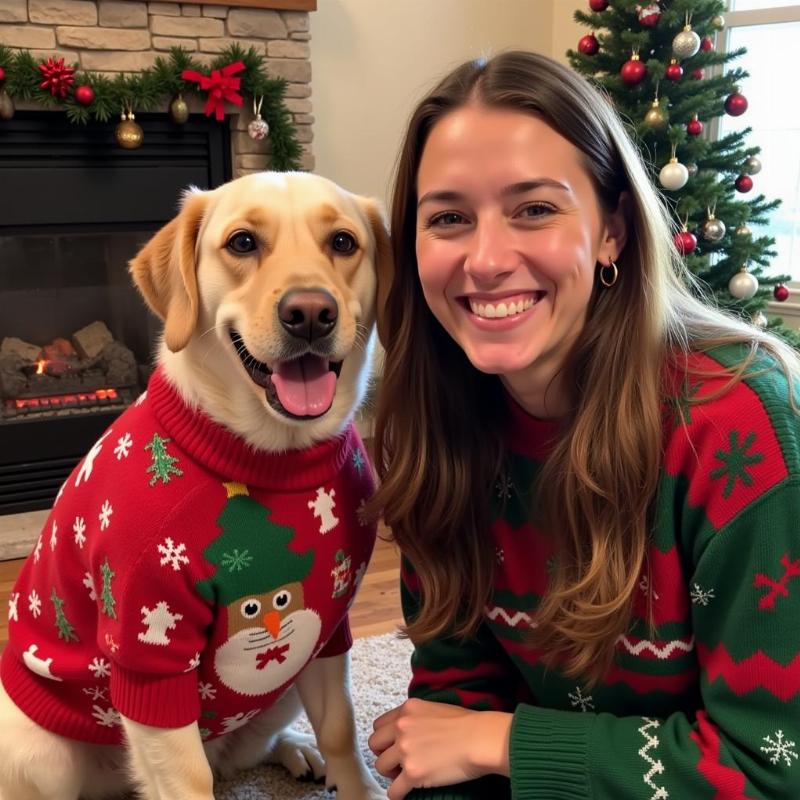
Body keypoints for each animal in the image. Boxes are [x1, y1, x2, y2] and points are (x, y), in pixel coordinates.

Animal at [0, 172, 390, 796]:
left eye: (343, 243)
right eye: (242, 243)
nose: (310, 313)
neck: (266, 454)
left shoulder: (327, 630)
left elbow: (340, 726)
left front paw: (356, 782)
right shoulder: (149, 658)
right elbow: (188, 778)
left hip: (281, 691)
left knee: (242, 755)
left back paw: (298, 750)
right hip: (43, 754)